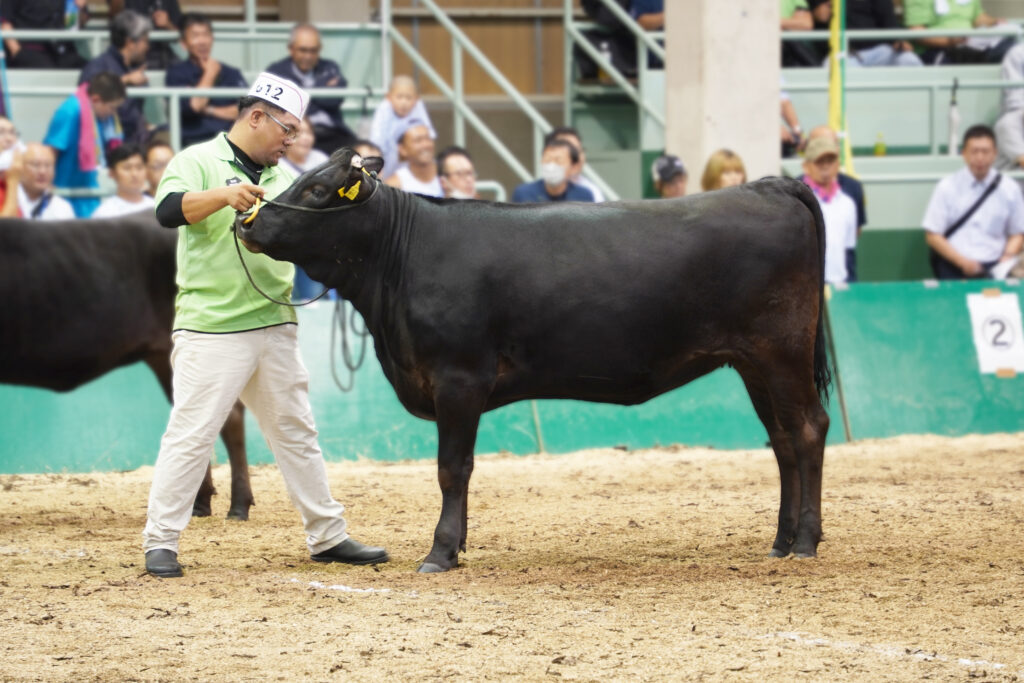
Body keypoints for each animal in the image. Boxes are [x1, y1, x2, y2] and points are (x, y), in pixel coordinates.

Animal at [237, 149, 831, 573]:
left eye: (317, 189)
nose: (247, 222)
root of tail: (767, 184)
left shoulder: (458, 378)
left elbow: (452, 468)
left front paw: (440, 552)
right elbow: (463, 469)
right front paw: (459, 546)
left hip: (781, 352)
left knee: (808, 430)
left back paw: (805, 540)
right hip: (753, 364)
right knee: (781, 441)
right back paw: (780, 541)